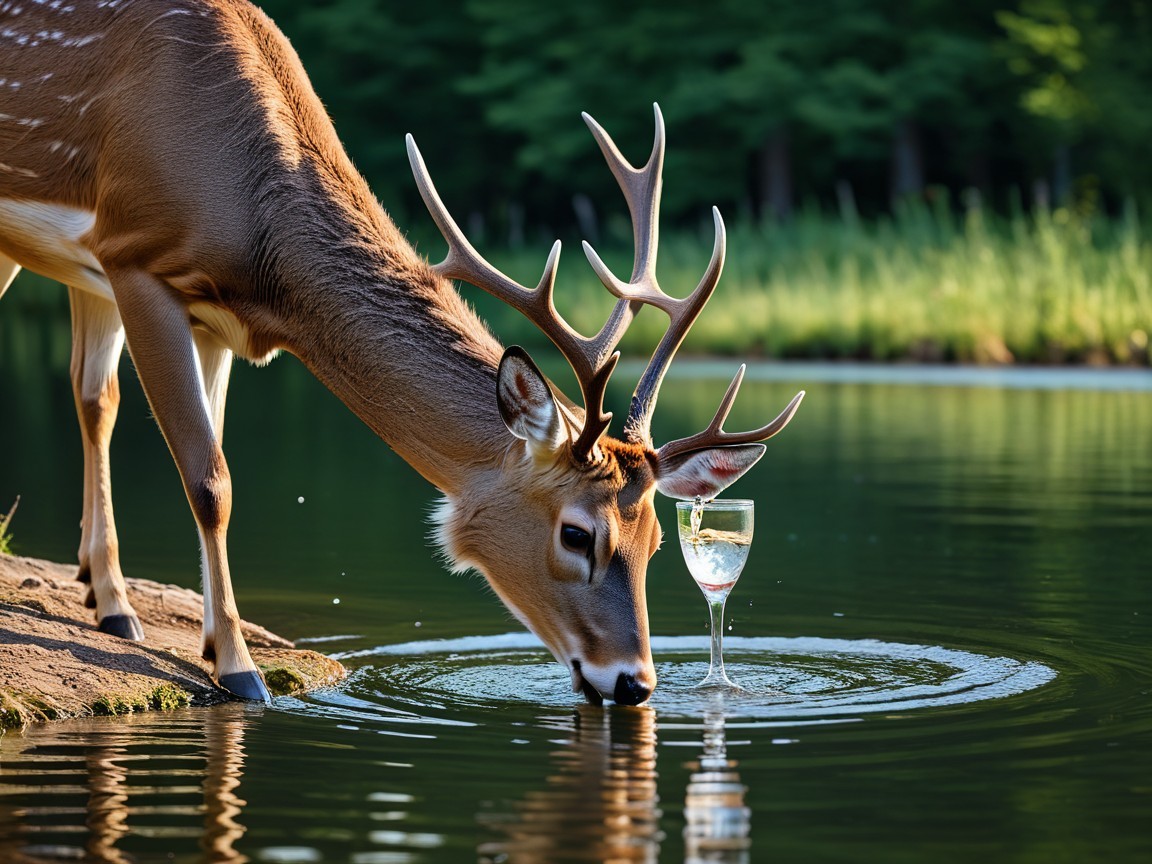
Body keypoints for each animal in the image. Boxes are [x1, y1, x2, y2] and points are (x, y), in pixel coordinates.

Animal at [0, 0, 802, 706]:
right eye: (578, 533)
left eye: (656, 541)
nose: (635, 683)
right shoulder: (135, 256)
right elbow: (211, 481)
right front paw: (238, 668)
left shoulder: (210, 320)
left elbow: (200, 451)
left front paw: (200, 638)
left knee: (93, 396)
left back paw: (107, 597)